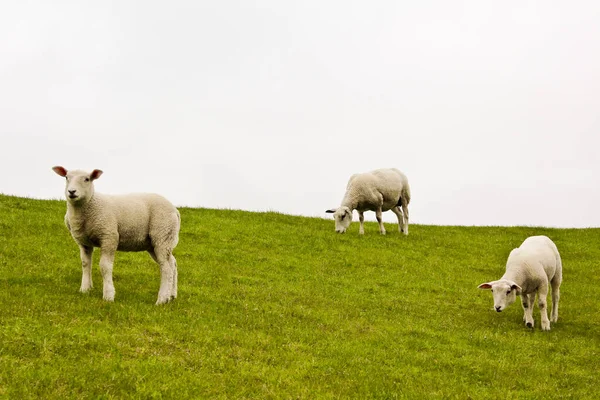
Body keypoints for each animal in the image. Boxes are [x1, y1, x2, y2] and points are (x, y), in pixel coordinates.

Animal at [53, 167, 180, 304]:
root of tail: (174, 209)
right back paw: (171, 295)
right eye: (66, 177)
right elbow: (85, 264)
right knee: (172, 262)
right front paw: (85, 289)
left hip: (162, 233)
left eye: (87, 179)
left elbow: (105, 266)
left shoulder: (109, 236)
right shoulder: (84, 242)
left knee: (166, 267)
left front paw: (108, 295)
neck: (90, 204)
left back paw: (161, 299)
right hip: (157, 242)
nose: (72, 191)